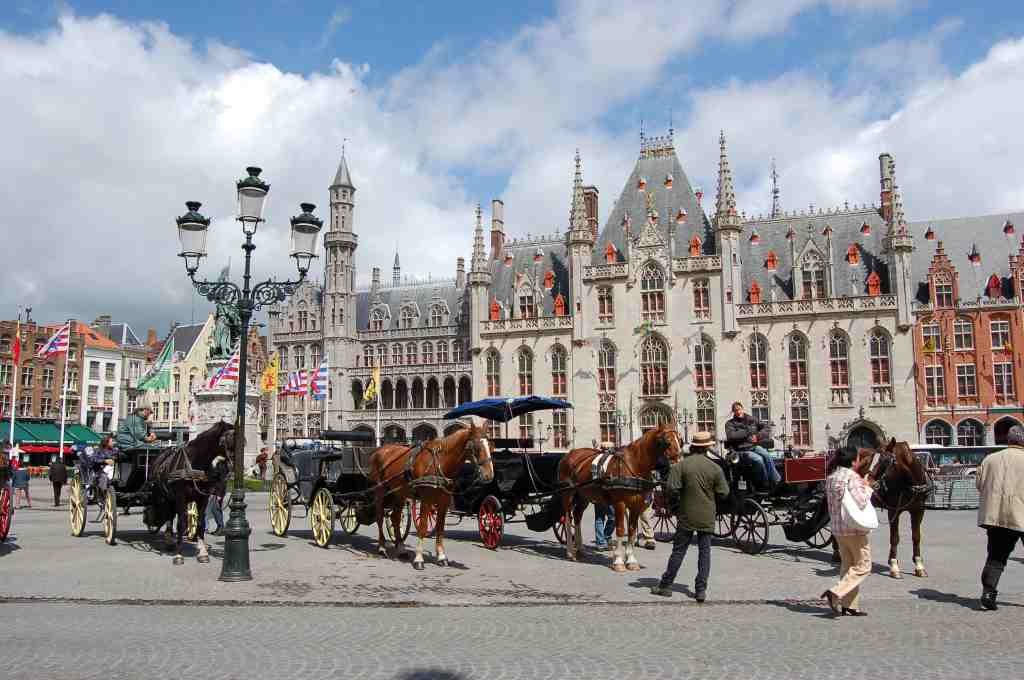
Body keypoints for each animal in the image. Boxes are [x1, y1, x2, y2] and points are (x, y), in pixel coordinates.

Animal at [151, 420, 234, 565]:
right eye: (229, 440)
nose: (231, 468)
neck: (196, 463)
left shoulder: (203, 498)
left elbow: (200, 523)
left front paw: (203, 553)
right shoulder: (180, 496)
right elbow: (180, 524)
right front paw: (179, 555)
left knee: (171, 515)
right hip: (165, 497)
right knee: (169, 516)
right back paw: (169, 541)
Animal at [367, 423, 493, 571]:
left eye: (490, 445)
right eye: (476, 447)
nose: (489, 475)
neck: (439, 463)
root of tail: (380, 450)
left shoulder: (444, 501)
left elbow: (440, 528)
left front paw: (442, 557)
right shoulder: (426, 499)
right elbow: (422, 527)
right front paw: (419, 559)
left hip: (399, 493)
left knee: (395, 518)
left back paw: (401, 549)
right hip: (380, 490)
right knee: (380, 517)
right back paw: (382, 548)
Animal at [558, 423, 682, 572]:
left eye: (680, 440)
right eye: (667, 442)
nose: (679, 464)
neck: (634, 465)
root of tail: (569, 454)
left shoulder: (636, 506)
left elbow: (632, 530)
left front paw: (631, 560)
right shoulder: (619, 503)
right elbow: (621, 529)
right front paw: (618, 561)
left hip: (584, 496)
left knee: (577, 517)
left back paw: (580, 549)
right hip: (568, 495)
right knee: (567, 519)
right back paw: (570, 551)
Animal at [859, 438, 932, 578]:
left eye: (885, 461)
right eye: (871, 459)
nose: (866, 482)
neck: (910, 483)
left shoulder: (918, 510)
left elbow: (916, 536)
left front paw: (919, 566)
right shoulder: (894, 511)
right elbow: (894, 538)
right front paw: (894, 566)